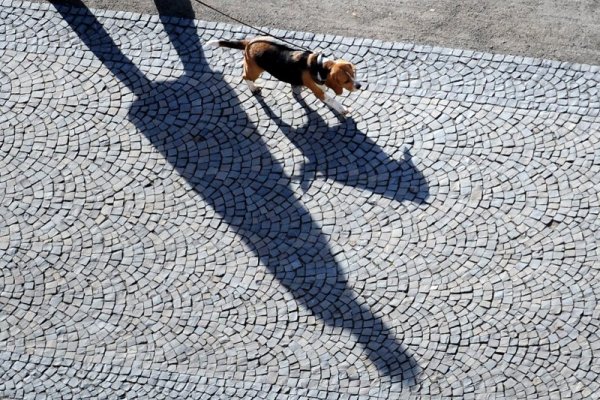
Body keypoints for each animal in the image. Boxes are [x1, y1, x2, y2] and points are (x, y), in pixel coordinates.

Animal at [206, 36, 360, 115]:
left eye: (354, 74)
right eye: (346, 81)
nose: (359, 86)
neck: (319, 66)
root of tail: (250, 42)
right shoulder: (318, 91)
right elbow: (331, 100)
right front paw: (342, 109)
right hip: (254, 71)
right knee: (245, 77)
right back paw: (253, 88)